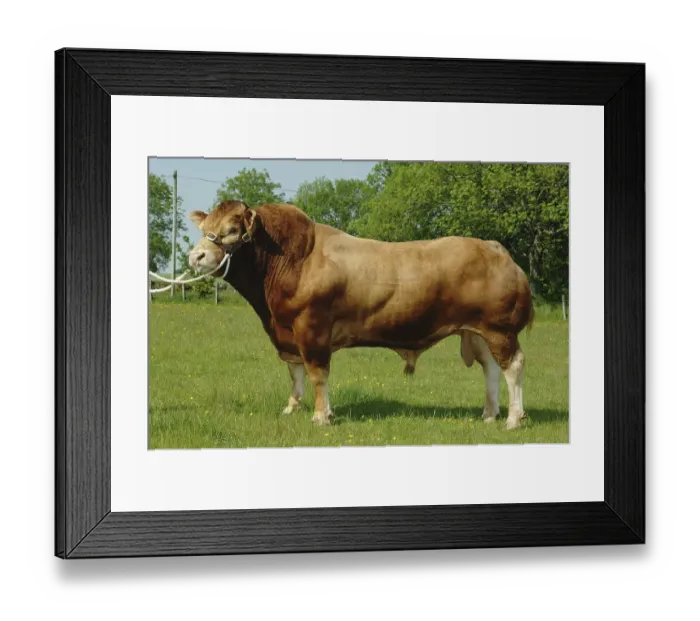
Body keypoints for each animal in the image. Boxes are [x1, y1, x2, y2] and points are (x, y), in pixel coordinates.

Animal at [188, 200, 534, 430]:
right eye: (205, 229)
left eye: (232, 230)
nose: (196, 256)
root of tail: (497, 249)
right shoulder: (287, 333)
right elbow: (295, 372)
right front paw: (292, 407)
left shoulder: (312, 329)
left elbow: (317, 373)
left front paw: (321, 416)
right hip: (477, 331)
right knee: (491, 368)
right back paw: (489, 414)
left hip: (499, 329)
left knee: (513, 366)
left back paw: (513, 419)